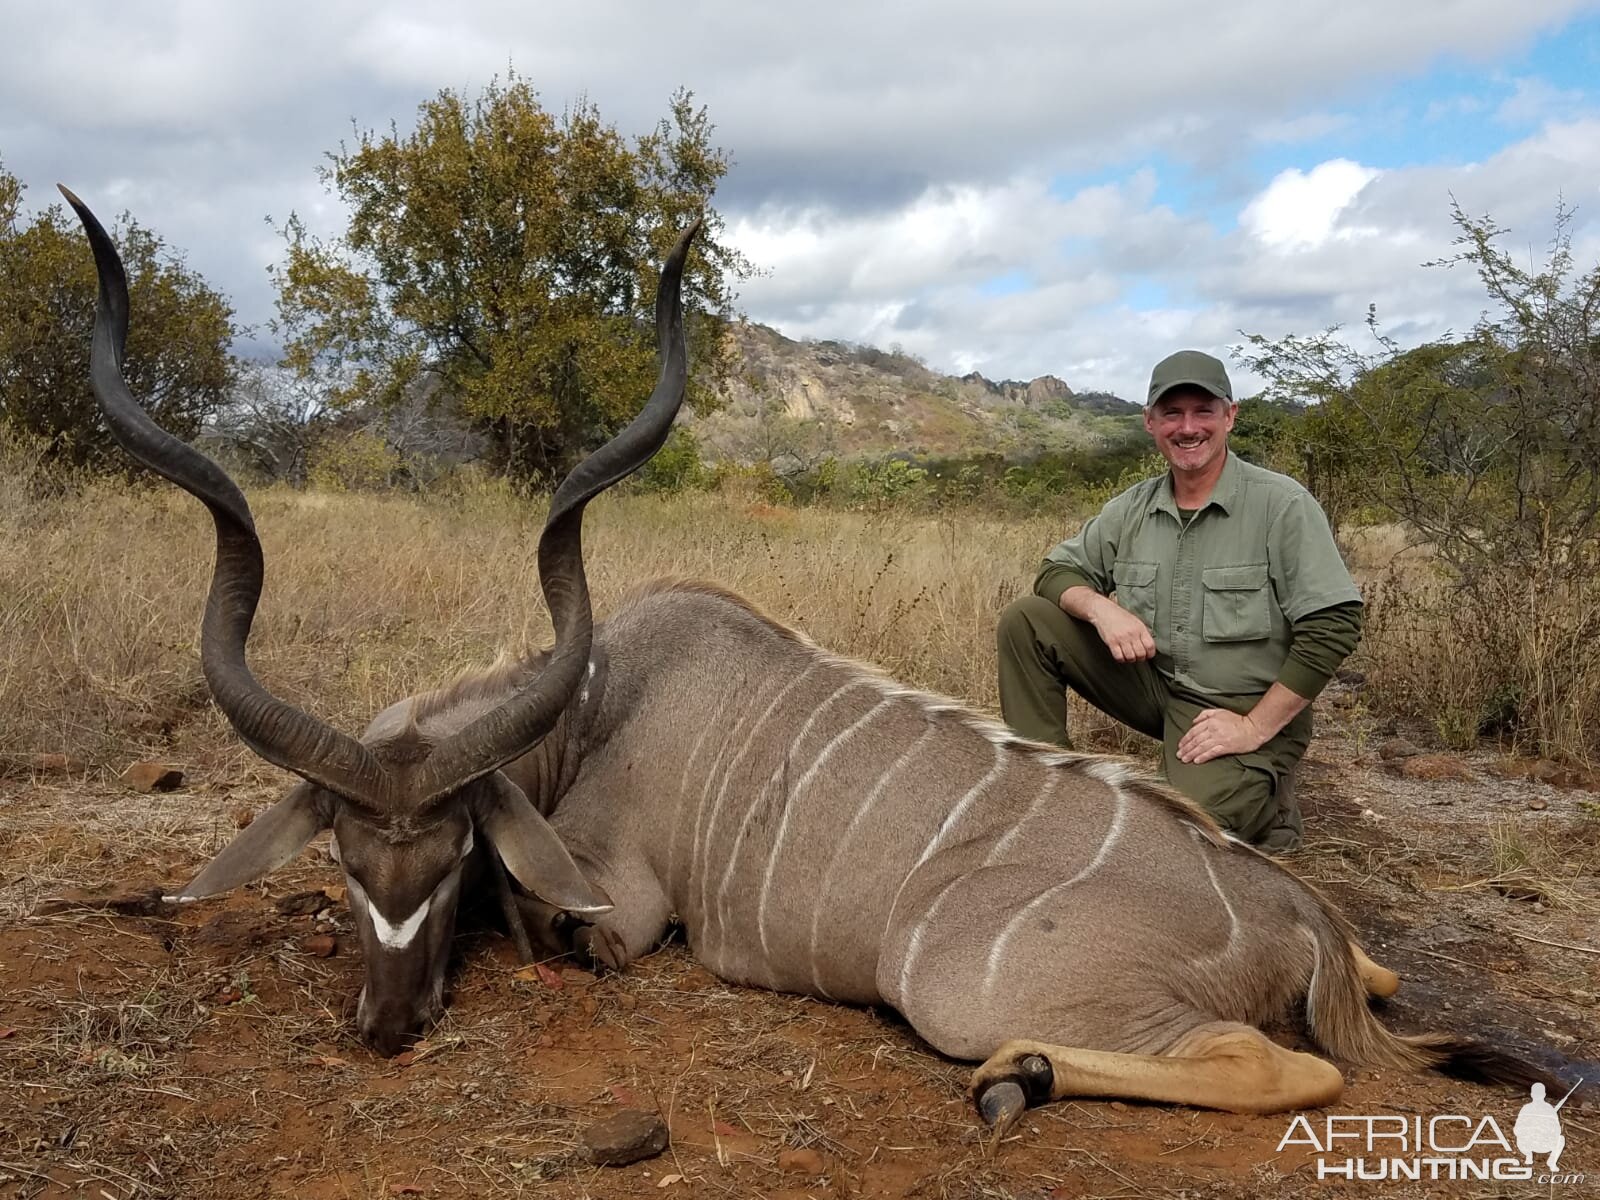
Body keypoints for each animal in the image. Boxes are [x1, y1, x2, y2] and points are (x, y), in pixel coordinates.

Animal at [65, 192, 1561, 1132]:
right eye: (341, 856)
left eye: (447, 858)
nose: (381, 1027)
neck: (593, 712)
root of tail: (1293, 919)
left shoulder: (621, 909)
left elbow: (564, 930)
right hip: (1326, 952)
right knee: (1375, 990)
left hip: (956, 984)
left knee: (1282, 1070)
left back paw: (1017, 1076)